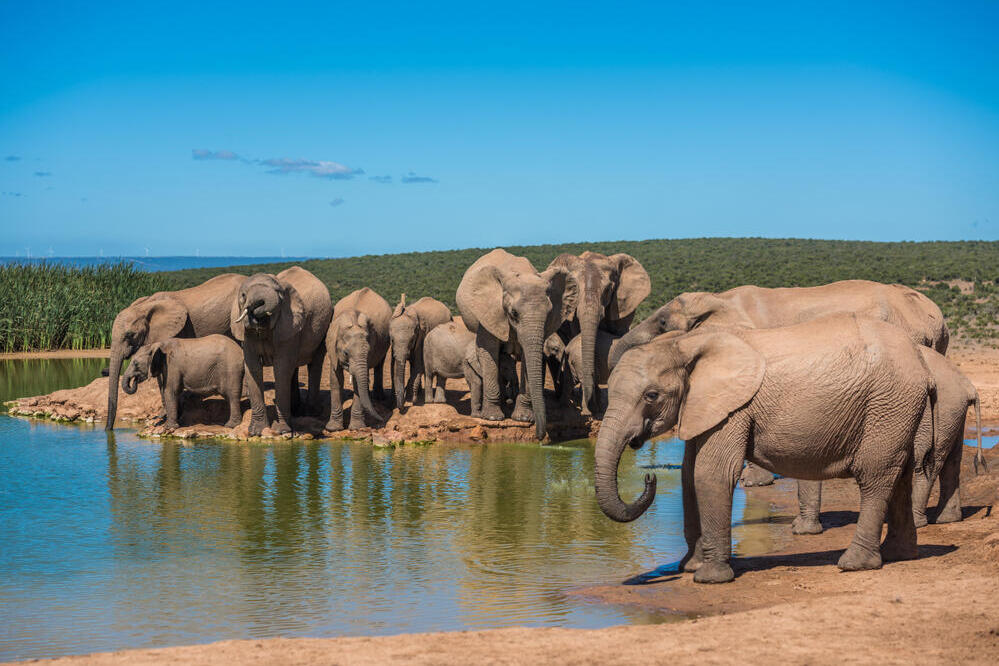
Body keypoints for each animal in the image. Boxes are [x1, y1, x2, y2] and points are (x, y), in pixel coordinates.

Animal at [231, 266, 333, 436]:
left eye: (279, 293)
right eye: (243, 295)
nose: (258, 304)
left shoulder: (289, 326)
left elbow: (281, 368)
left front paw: (281, 431)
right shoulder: (245, 333)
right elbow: (253, 368)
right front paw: (255, 432)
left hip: (325, 324)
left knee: (314, 363)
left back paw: (310, 413)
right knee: (294, 368)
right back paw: (295, 411)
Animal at [326, 287, 392, 430]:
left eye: (368, 352)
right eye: (345, 353)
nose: (381, 420)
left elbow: (358, 383)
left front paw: (356, 428)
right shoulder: (332, 348)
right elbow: (335, 379)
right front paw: (333, 428)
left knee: (380, 364)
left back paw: (379, 397)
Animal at [456, 248, 578, 440]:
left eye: (549, 313)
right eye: (513, 313)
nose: (540, 436)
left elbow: (529, 358)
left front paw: (523, 418)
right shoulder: (489, 313)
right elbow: (489, 352)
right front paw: (492, 417)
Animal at [595, 314, 933, 583]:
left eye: (651, 395)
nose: (649, 477)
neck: (685, 344)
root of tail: (921, 363)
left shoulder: (734, 409)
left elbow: (711, 474)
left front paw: (709, 578)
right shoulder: (703, 406)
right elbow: (688, 475)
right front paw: (689, 567)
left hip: (888, 403)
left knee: (876, 475)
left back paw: (854, 564)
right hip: (899, 408)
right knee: (901, 475)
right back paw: (899, 555)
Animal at [792, 346, 986, 535]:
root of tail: (968, 385)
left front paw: (801, 531)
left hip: (938, 413)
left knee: (926, 462)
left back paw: (917, 522)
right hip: (952, 412)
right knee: (951, 461)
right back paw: (945, 519)